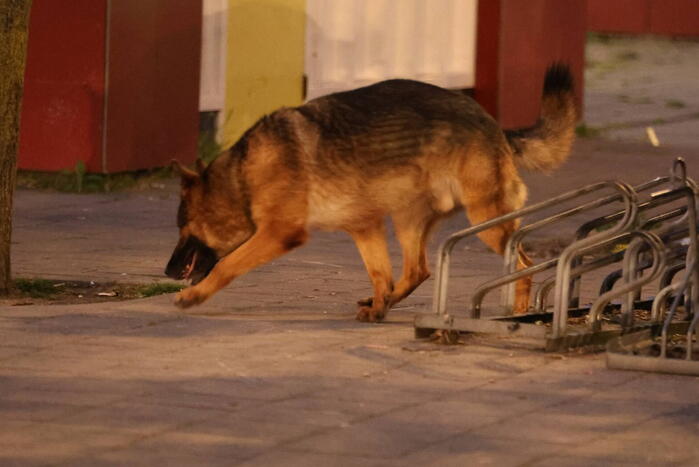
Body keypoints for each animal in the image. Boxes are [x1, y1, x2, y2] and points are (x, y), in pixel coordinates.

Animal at [167, 65, 576, 322]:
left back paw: (518, 313)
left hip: (486, 221)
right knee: (417, 270)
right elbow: (381, 273)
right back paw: (384, 303)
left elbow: (227, 265)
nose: (168, 271)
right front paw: (379, 305)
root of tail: (493, 123)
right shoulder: (364, 228)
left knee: (522, 266)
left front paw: (193, 296)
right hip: (407, 220)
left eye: (182, 228)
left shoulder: (280, 233)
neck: (243, 176)